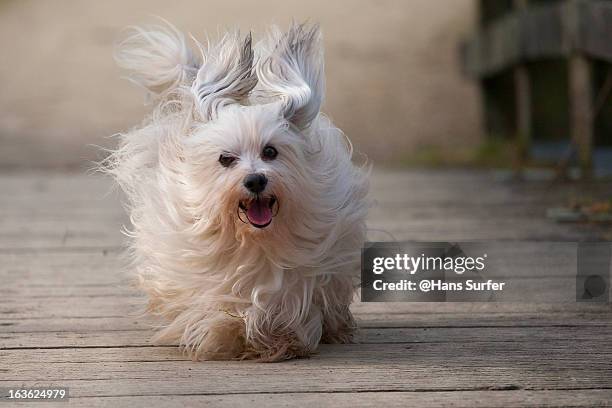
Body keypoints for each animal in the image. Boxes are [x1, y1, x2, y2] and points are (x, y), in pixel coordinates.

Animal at [104, 20, 368, 362]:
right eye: (225, 159)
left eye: (270, 152)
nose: (255, 180)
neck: (253, 239)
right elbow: (215, 304)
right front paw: (224, 334)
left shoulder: (302, 267)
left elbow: (289, 299)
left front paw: (282, 338)